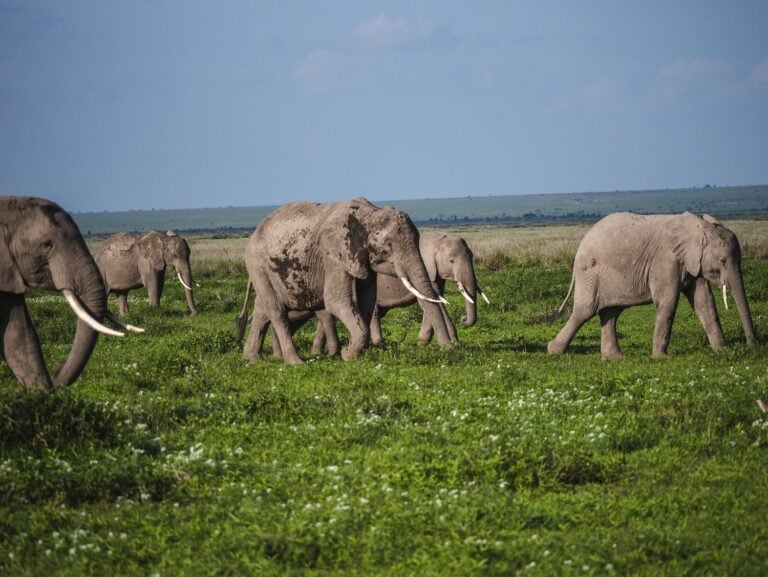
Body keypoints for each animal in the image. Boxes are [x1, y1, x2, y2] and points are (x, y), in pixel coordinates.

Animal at [237, 197, 456, 365]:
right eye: (389, 245)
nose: (448, 349)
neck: (369, 214)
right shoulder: (333, 255)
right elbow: (336, 301)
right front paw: (347, 355)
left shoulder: (362, 258)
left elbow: (367, 303)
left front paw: (351, 352)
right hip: (257, 264)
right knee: (277, 312)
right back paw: (295, 363)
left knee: (262, 310)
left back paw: (252, 359)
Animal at [307, 230, 490, 355]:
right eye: (451, 261)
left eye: (472, 257)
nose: (463, 319)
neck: (437, 239)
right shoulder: (426, 269)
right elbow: (432, 301)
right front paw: (455, 345)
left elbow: (433, 302)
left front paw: (422, 343)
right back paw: (377, 344)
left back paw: (318, 351)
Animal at [548, 211, 756, 359]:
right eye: (722, 261)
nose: (752, 344)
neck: (699, 227)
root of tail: (582, 242)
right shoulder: (665, 259)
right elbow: (667, 301)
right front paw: (659, 358)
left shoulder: (692, 262)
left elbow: (704, 301)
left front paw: (721, 350)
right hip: (590, 272)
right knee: (585, 311)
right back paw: (554, 351)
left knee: (611, 313)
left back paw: (615, 358)